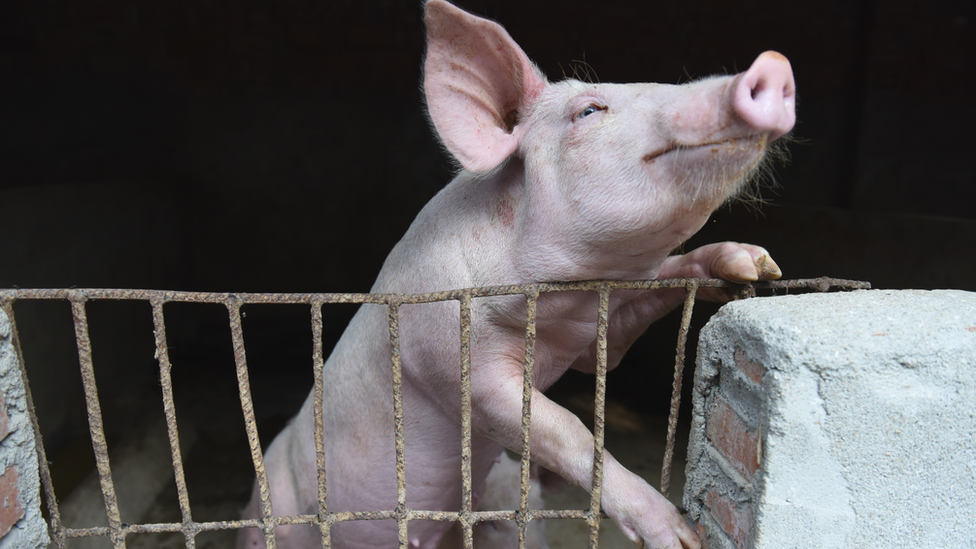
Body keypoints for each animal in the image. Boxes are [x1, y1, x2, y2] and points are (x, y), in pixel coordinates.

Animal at [238, 1, 792, 548]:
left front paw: (752, 263)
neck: (557, 308)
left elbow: (635, 319)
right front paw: (679, 535)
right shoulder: (453, 359)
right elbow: (565, 426)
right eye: (588, 111)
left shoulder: (599, 331)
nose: (773, 64)